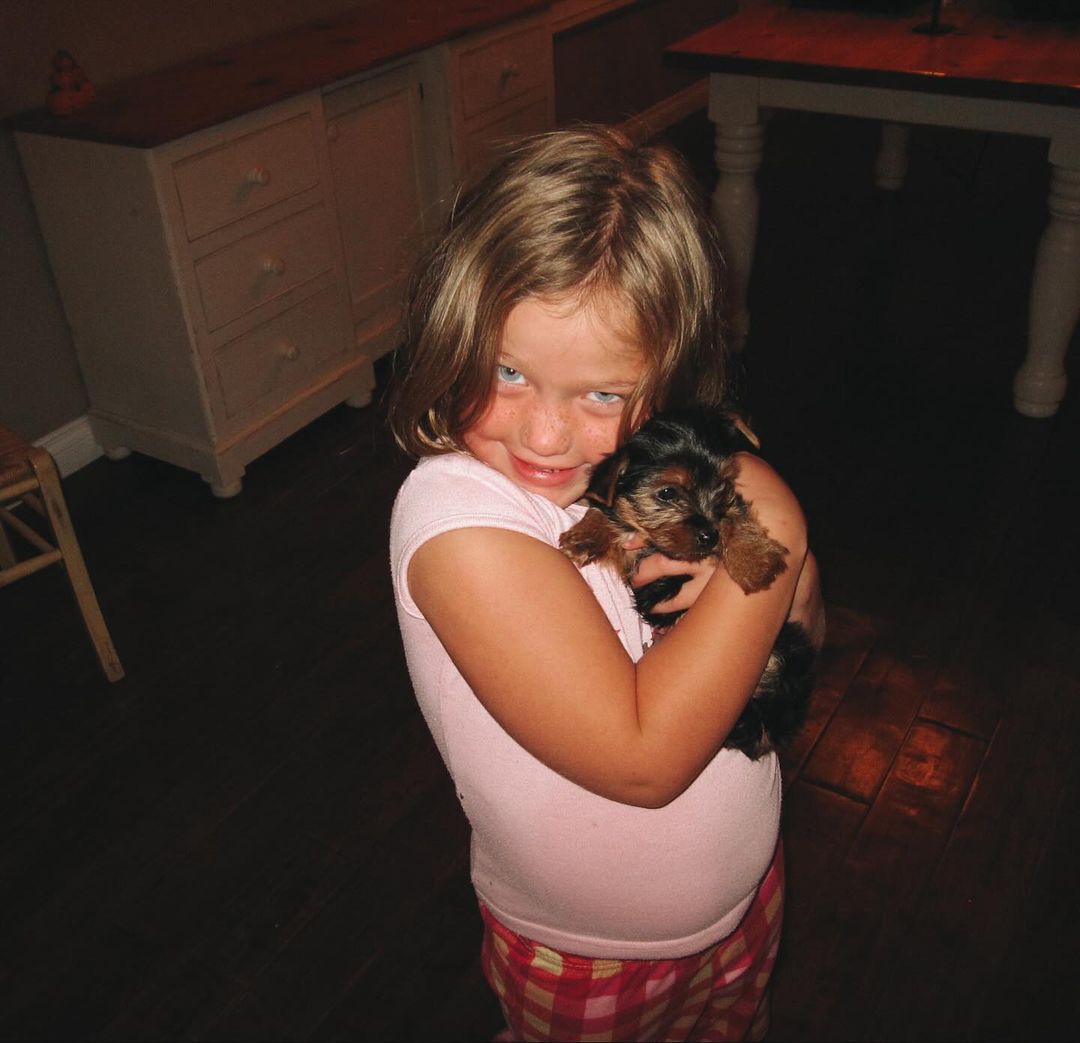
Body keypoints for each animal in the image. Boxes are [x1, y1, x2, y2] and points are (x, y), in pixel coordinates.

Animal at [559, 406, 816, 760]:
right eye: (667, 493)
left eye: (722, 486)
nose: (709, 536)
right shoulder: (633, 555)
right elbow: (609, 516)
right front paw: (585, 535)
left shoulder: (728, 508)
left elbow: (735, 516)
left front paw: (754, 560)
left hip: (789, 648)